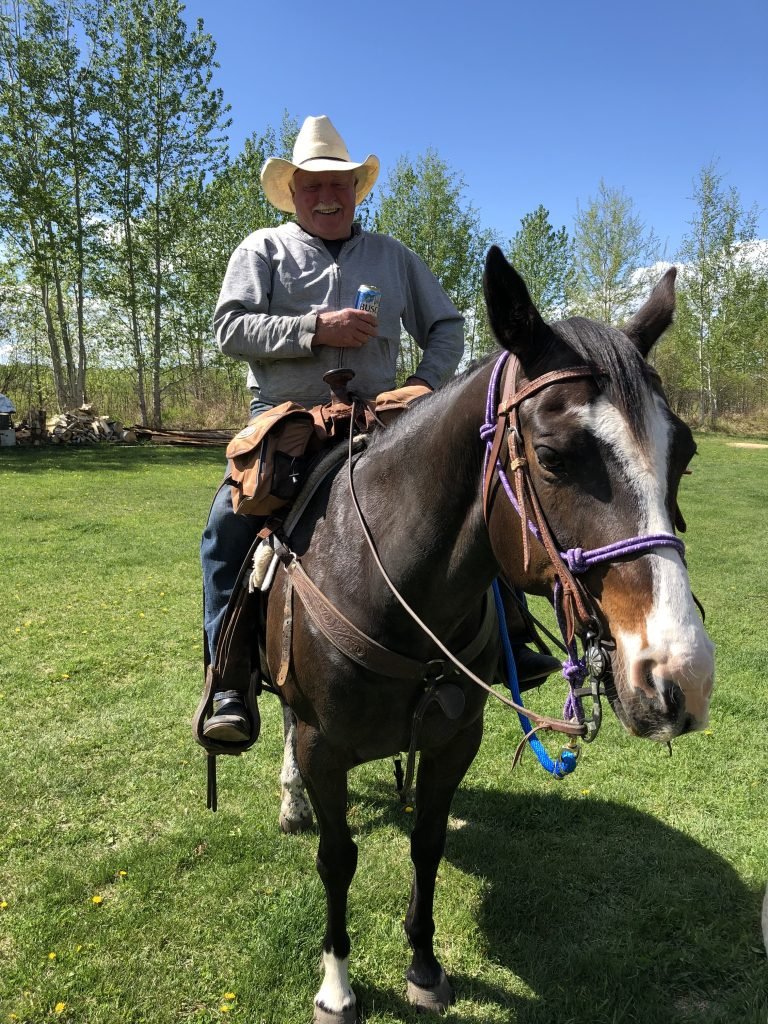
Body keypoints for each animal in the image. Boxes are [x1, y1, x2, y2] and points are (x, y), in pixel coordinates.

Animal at [258, 246, 714, 1023]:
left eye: (680, 453)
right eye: (554, 455)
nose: (682, 676)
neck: (388, 587)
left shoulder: (453, 742)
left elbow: (428, 843)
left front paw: (423, 963)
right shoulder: (324, 745)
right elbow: (337, 857)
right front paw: (337, 986)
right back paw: (289, 803)